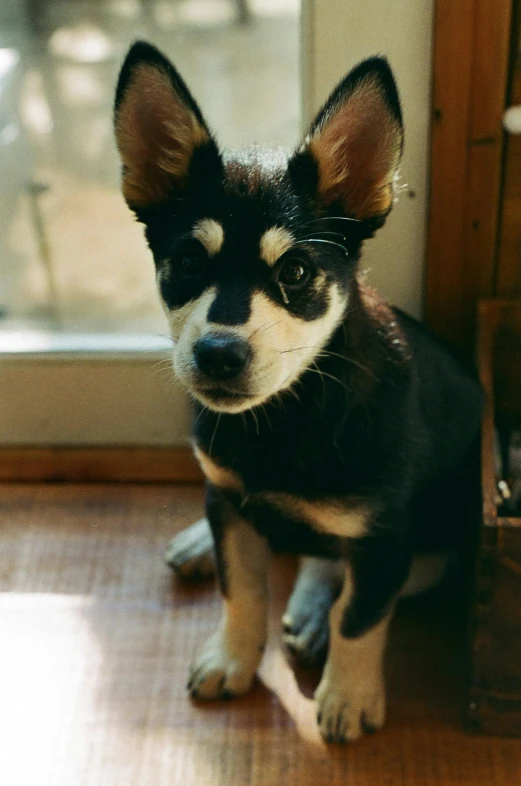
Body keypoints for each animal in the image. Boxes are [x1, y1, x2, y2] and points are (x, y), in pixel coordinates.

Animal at [115, 43, 484, 740]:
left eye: (297, 272)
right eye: (188, 263)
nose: (218, 353)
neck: (285, 418)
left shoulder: (388, 536)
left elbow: (359, 618)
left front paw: (347, 696)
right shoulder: (234, 503)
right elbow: (242, 588)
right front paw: (232, 658)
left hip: (438, 549)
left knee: (331, 565)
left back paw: (313, 613)